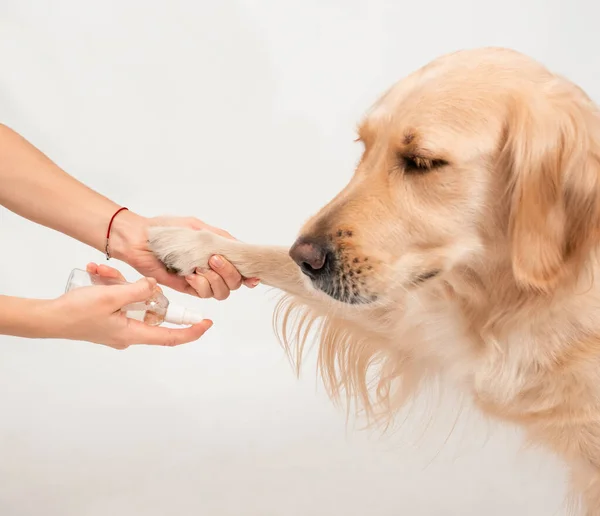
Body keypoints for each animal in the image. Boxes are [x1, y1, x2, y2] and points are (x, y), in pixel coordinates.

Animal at [148, 47, 600, 512]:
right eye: (365, 149)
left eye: (422, 162)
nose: (305, 257)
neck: (512, 295)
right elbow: (271, 256)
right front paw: (191, 242)